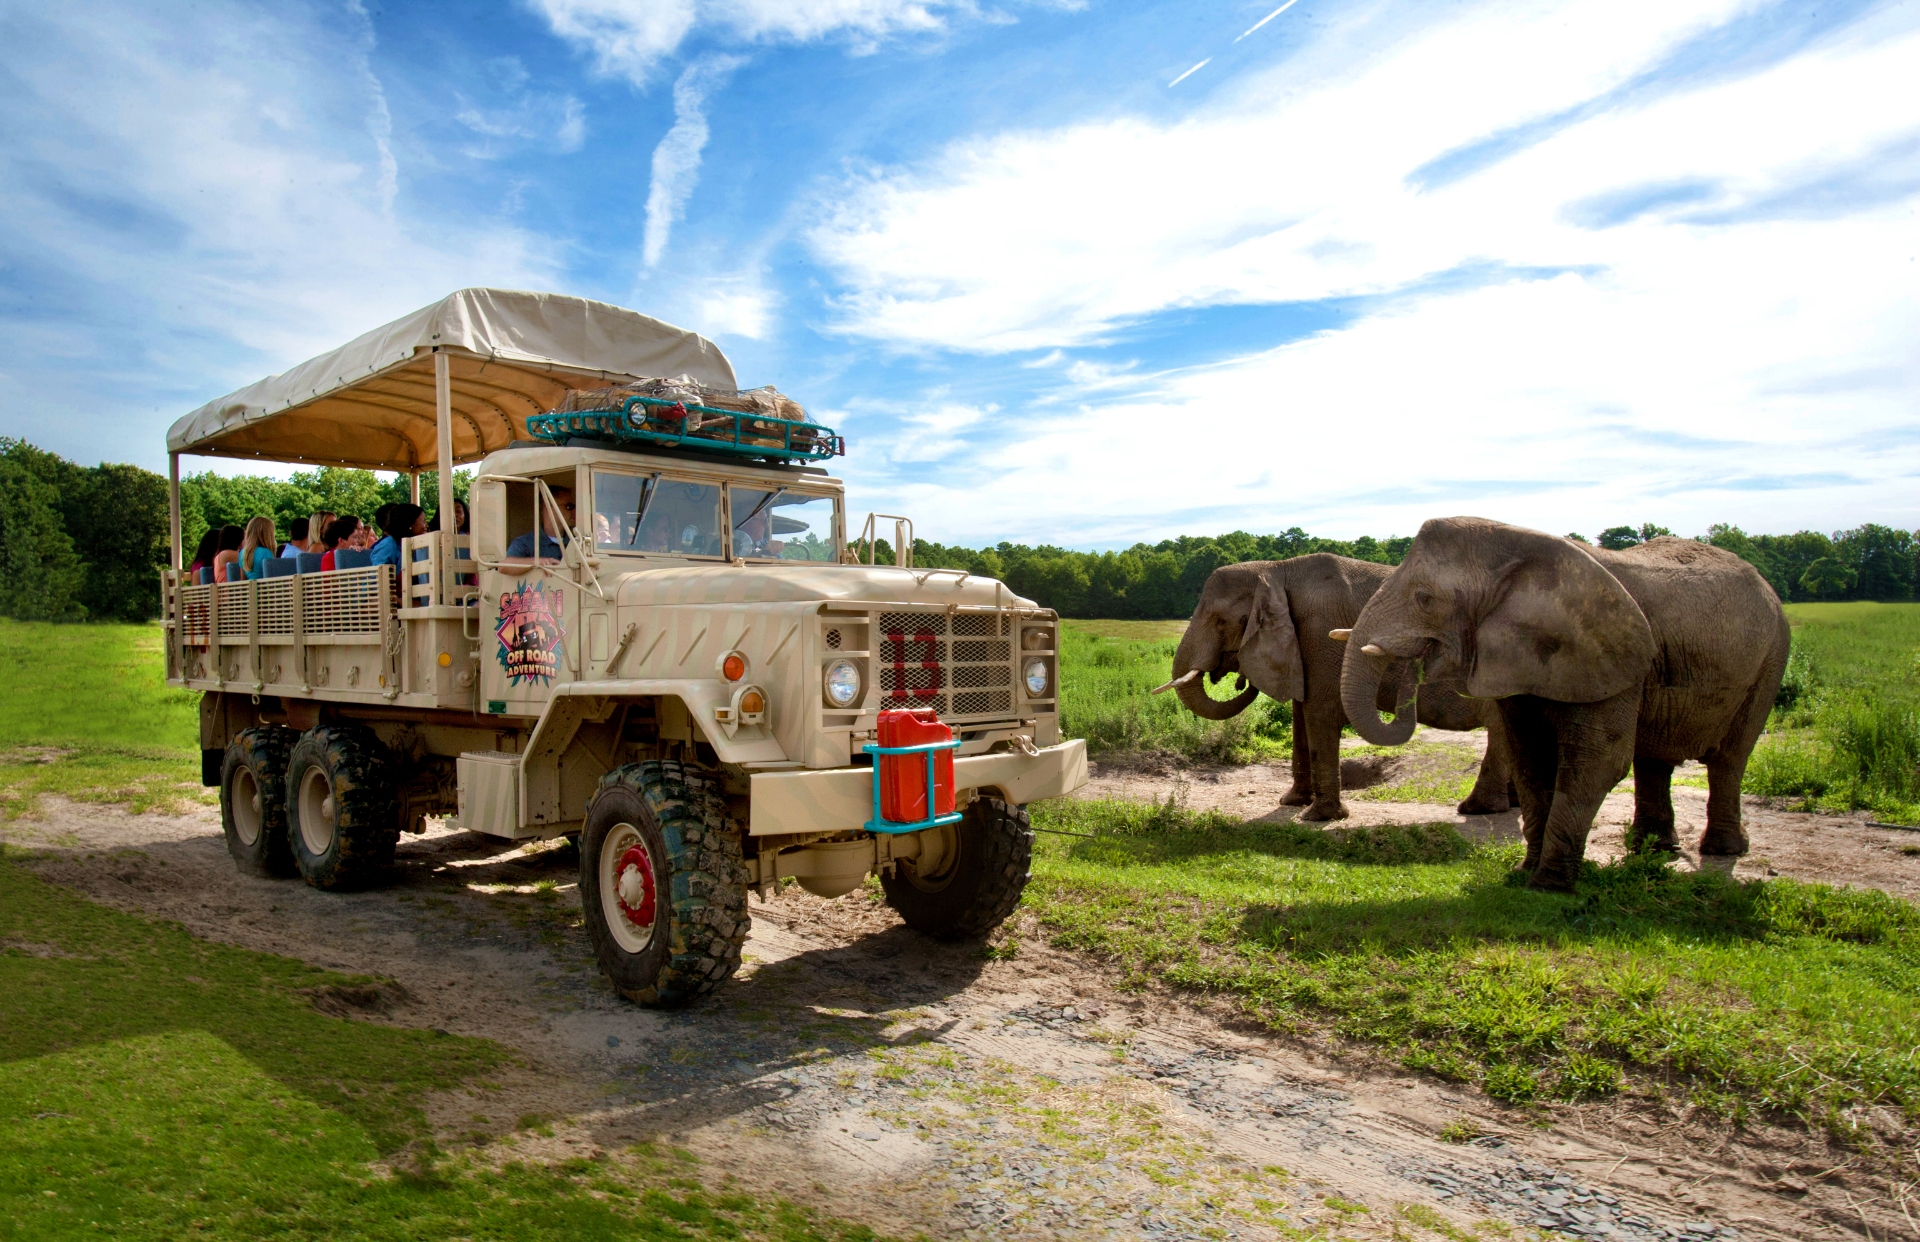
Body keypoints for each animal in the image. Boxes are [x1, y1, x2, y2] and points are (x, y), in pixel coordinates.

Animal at [1159, 560, 1520, 821]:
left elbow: (1319, 710)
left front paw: (1317, 817)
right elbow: (1301, 712)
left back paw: (1478, 809)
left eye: (1221, 621)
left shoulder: (1322, 631)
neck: (1275, 569)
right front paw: (1292, 803)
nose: (1240, 679)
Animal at [1344, 518, 1789, 894]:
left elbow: (1597, 761)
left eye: (1425, 599)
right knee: (1654, 760)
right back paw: (1651, 848)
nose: (1414, 664)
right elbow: (1528, 758)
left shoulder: (1607, 654)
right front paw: (1525, 873)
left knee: (1730, 759)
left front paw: (1549, 885)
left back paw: (1722, 850)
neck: (1518, 559)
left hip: (1770, 663)